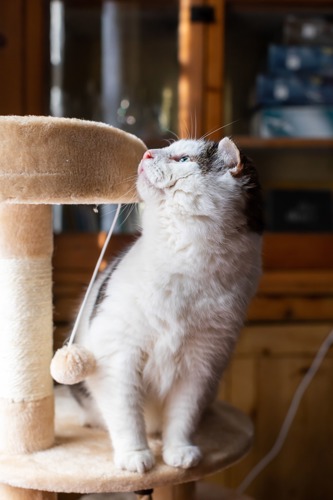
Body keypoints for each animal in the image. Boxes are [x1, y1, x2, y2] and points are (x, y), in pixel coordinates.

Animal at [71, 138, 264, 476]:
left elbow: (182, 417)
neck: (185, 262)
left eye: (183, 158)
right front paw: (136, 457)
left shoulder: (201, 365)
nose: (146, 152)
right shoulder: (119, 358)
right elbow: (127, 415)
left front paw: (179, 453)